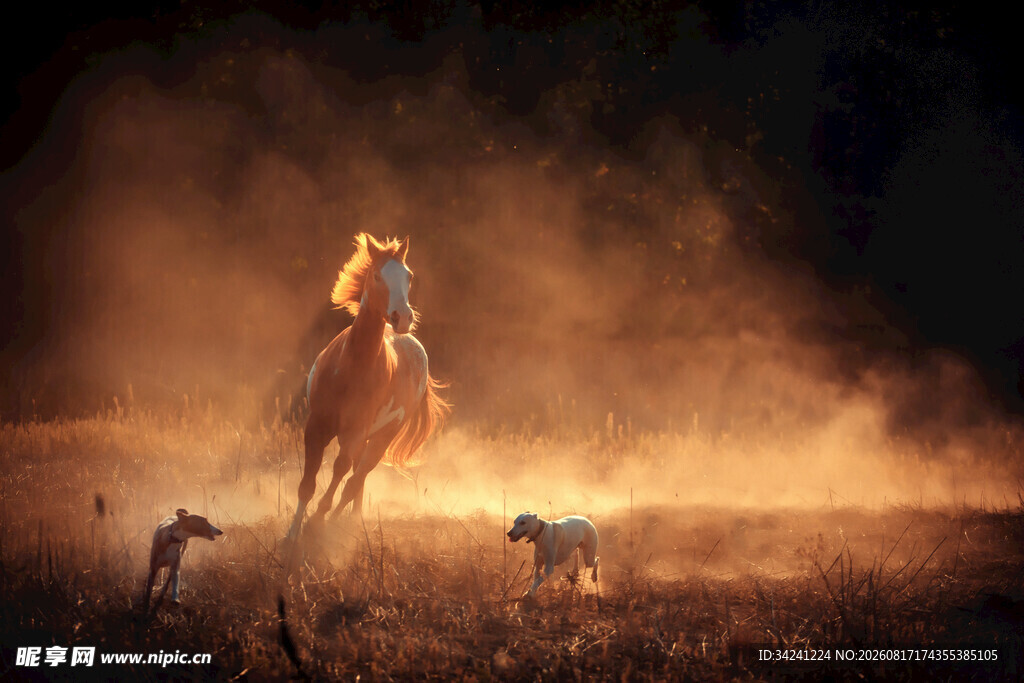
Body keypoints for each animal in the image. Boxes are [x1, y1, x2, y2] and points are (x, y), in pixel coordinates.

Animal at [285, 234, 448, 543]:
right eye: (376, 275)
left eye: (408, 276)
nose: (402, 317)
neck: (352, 366)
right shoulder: (316, 426)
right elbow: (307, 482)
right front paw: (291, 533)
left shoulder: (354, 431)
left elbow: (340, 471)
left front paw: (316, 521)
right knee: (355, 481)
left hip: (382, 436)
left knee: (355, 479)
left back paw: (336, 523)